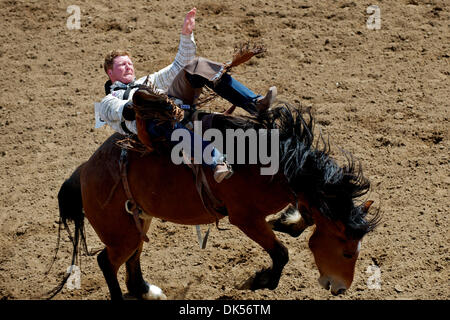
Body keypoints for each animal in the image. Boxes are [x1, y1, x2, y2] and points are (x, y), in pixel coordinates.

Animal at [49, 100, 380, 300]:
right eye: (348, 253)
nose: (340, 289)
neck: (275, 164)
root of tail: (84, 171)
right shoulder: (245, 218)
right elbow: (281, 253)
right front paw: (260, 281)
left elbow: (305, 217)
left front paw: (288, 222)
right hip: (121, 234)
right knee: (107, 261)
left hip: (139, 221)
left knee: (132, 261)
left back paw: (146, 289)